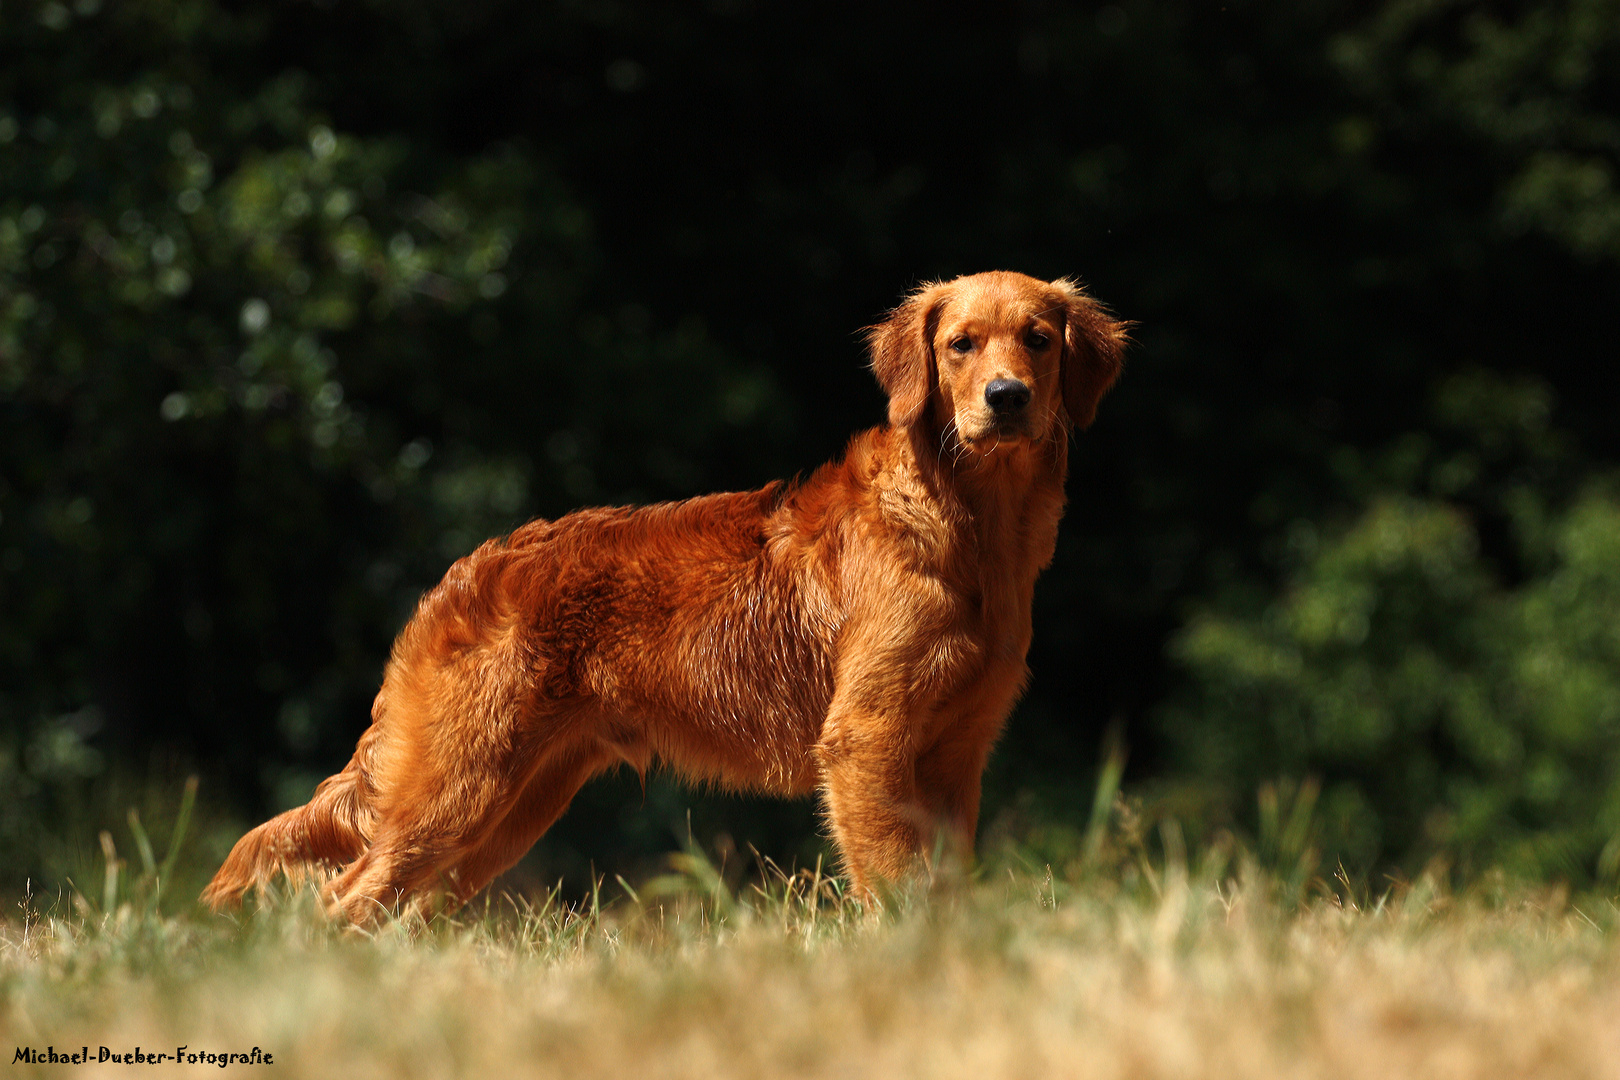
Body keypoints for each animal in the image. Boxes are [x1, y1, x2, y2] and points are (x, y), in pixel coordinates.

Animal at [202, 270, 1127, 919]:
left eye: (1038, 340)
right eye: (962, 344)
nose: (1005, 399)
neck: (969, 529)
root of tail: (461, 575)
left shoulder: (956, 757)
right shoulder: (865, 742)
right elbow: (895, 891)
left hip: (507, 812)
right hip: (455, 794)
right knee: (342, 903)